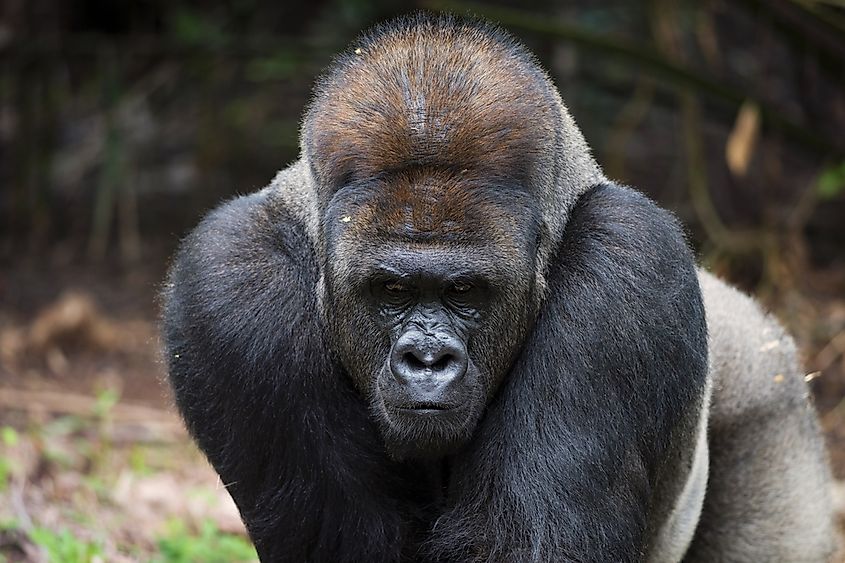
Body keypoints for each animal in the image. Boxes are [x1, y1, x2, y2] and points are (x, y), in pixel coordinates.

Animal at [162, 13, 836, 563]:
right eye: (390, 292)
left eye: (465, 293)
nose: (426, 359)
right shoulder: (228, 283)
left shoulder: (632, 261)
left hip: (766, 387)